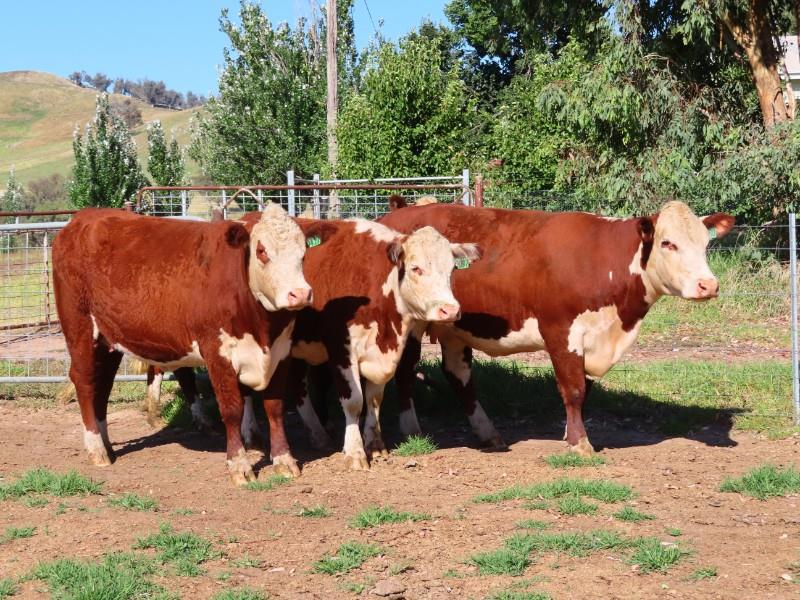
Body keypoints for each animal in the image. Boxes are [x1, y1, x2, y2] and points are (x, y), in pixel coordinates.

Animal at [53, 204, 315, 485]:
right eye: (262, 251)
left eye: (303, 251)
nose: (300, 294)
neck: (261, 326)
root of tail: (83, 217)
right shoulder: (217, 352)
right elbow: (232, 409)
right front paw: (239, 465)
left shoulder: (280, 351)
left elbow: (274, 407)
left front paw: (284, 460)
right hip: (79, 327)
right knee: (84, 381)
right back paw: (96, 449)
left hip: (108, 339)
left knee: (102, 384)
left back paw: (107, 444)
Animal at [377, 200, 734, 455]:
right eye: (668, 243)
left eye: (705, 245)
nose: (708, 285)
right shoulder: (561, 331)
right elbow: (573, 389)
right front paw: (580, 442)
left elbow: (584, 389)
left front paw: (570, 434)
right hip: (413, 324)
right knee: (406, 370)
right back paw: (412, 428)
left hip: (453, 326)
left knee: (458, 375)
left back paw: (487, 432)